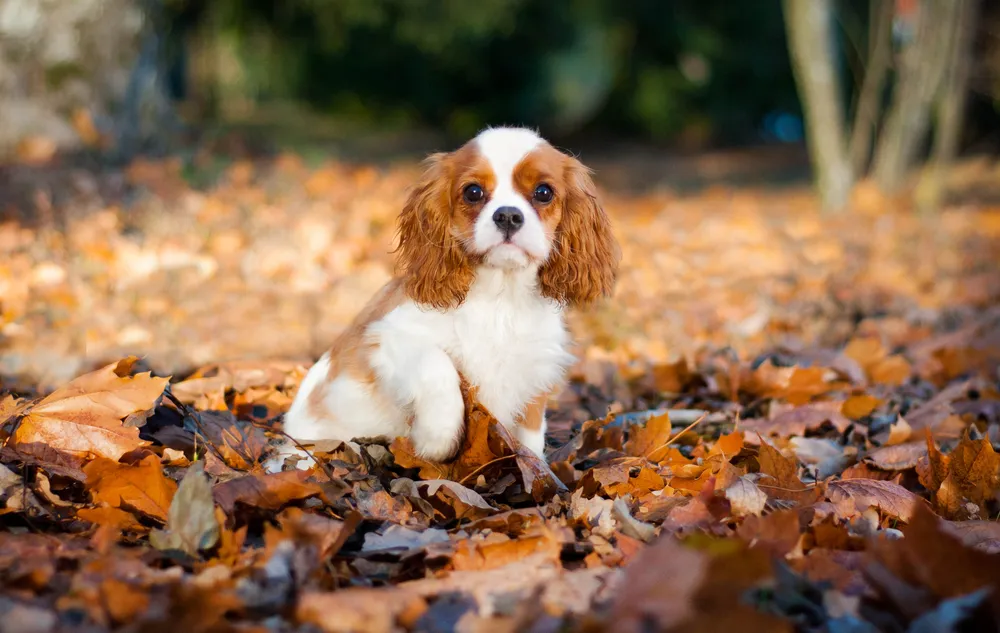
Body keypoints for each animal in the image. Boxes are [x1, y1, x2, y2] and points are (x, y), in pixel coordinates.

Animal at [270, 126, 620, 470]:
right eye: (473, 192)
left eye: (544, 192)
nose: (508, 215)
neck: (500, 296)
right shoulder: (385, 338)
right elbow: (438, 365)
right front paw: (435, 441)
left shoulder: (534, 368)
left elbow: (531, 433)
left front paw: (535, 469)